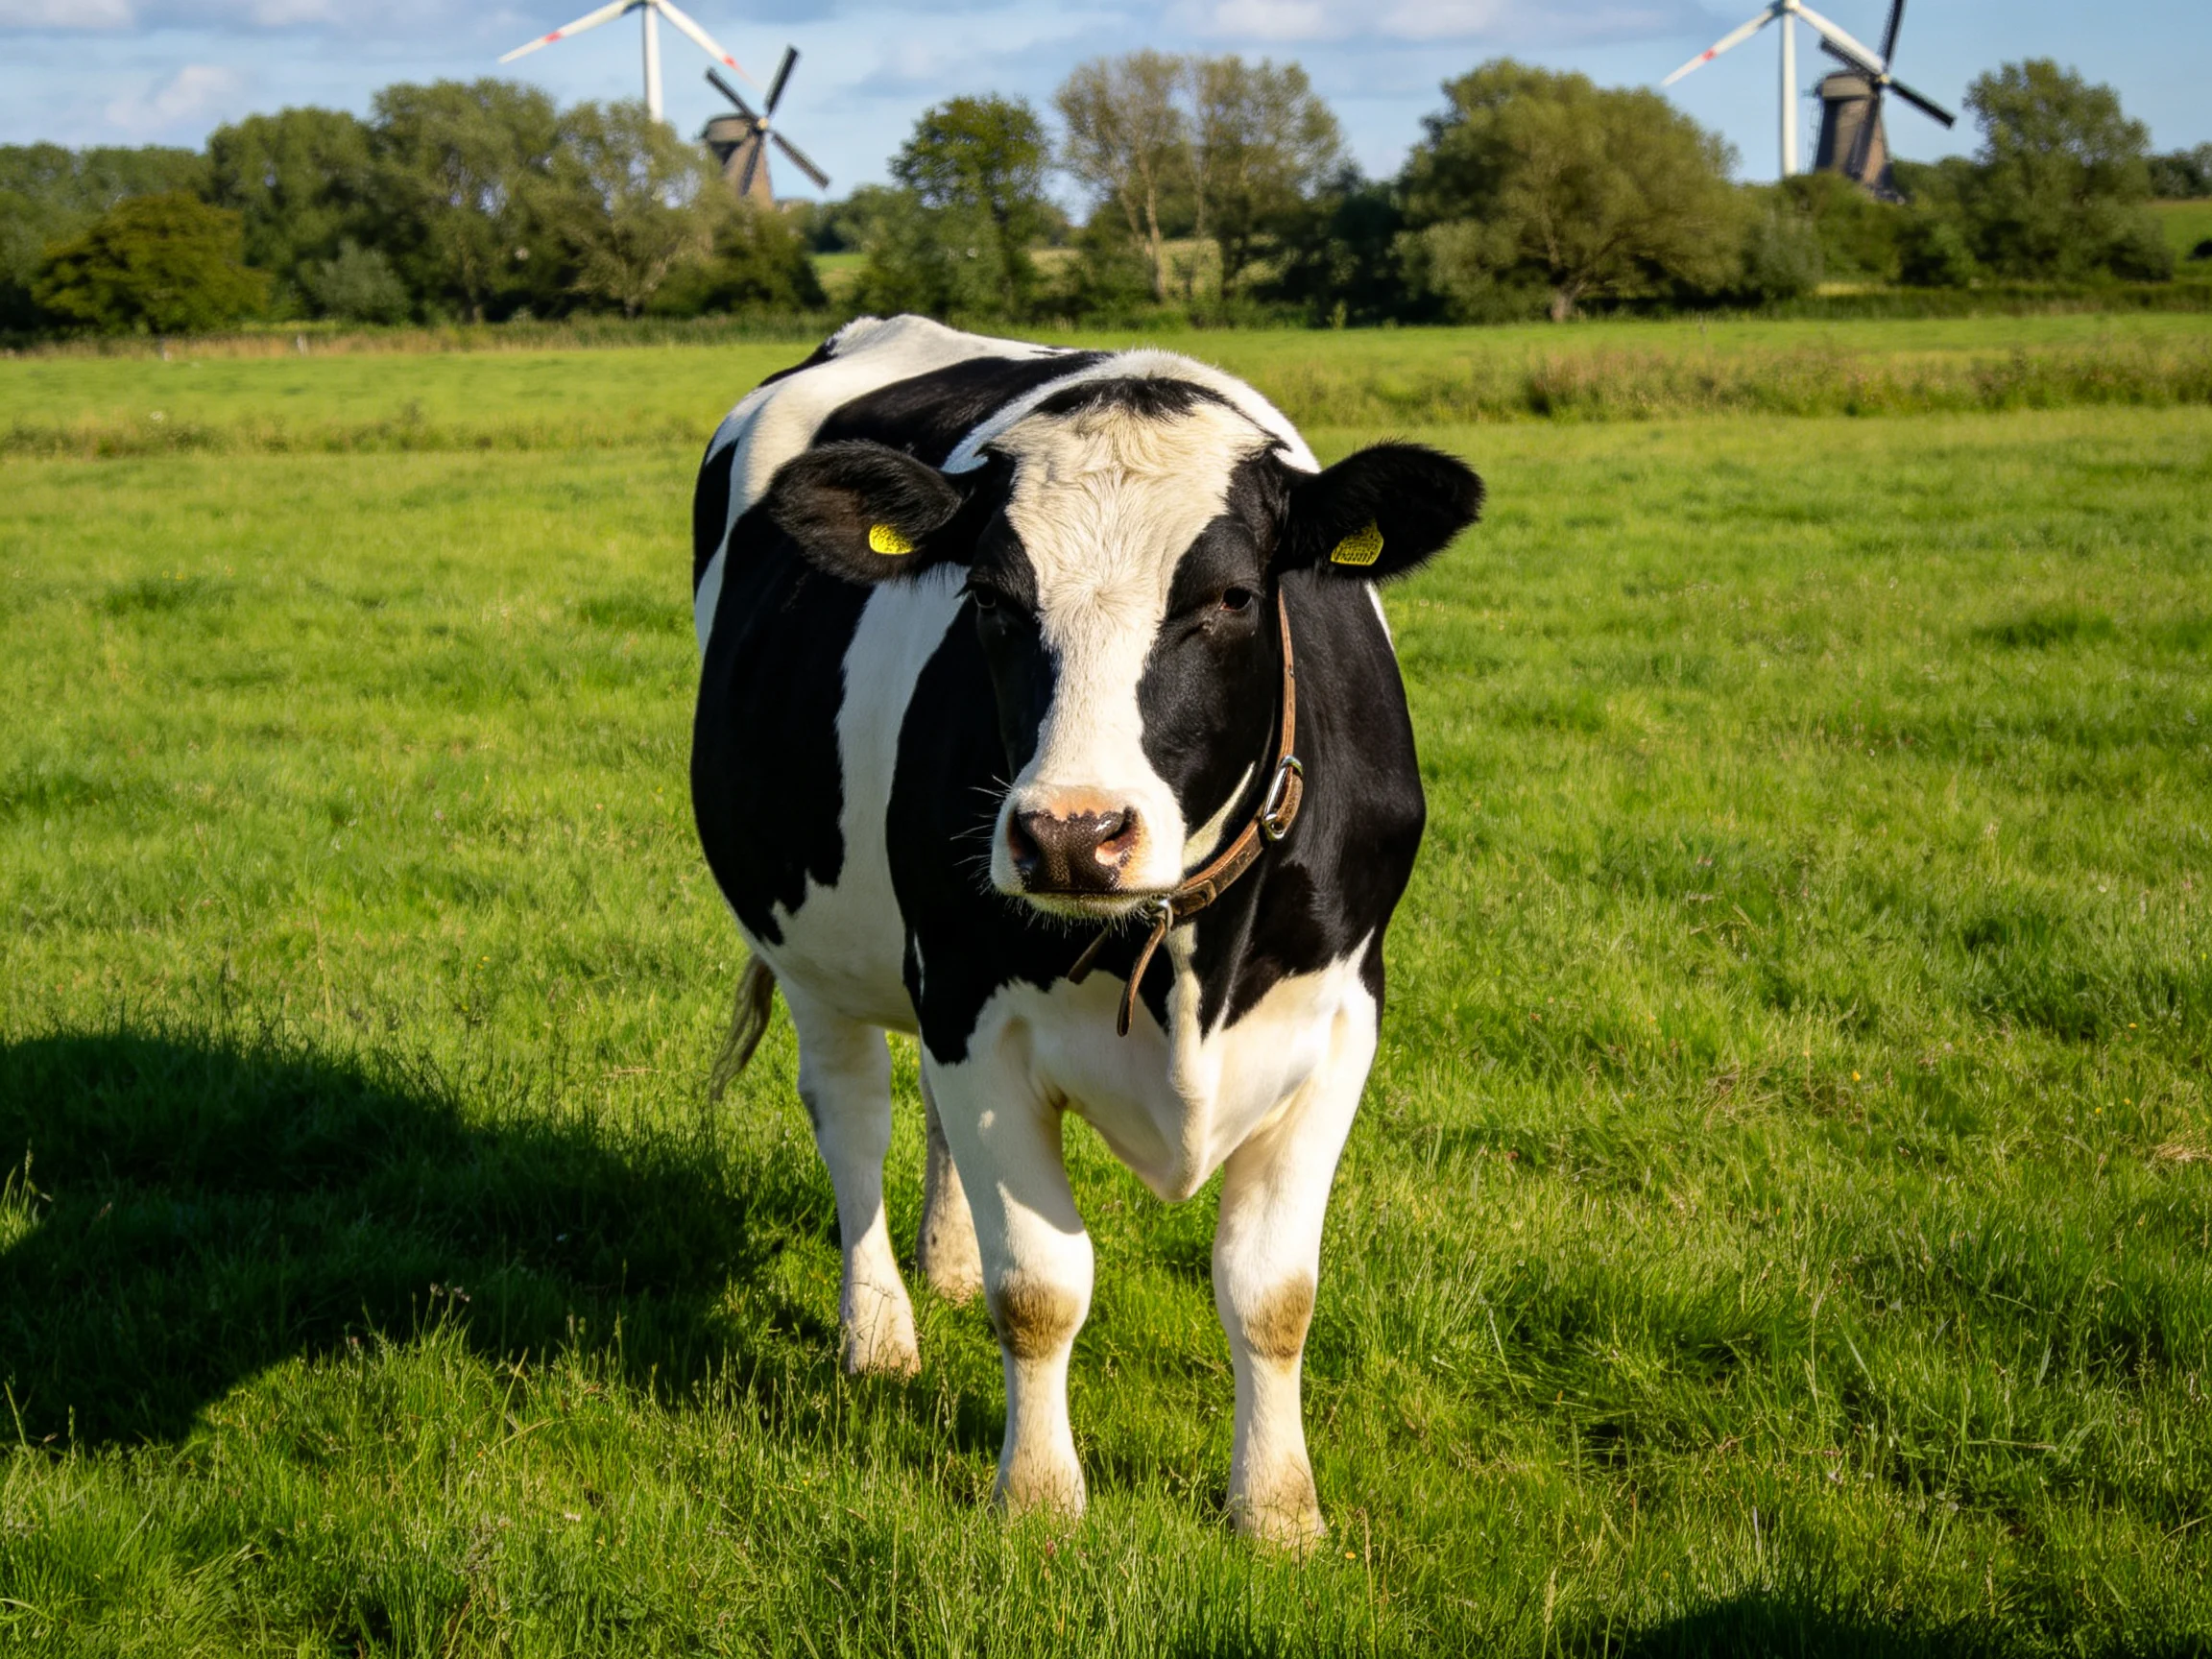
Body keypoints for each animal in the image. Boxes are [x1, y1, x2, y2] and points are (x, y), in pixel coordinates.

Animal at [690, 314, 1483, 1546]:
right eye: (989, 600)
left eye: (1234, 598)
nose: (1072, 834)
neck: (1182, 959)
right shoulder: (971, 1001)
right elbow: (1041, 1287)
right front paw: (1038, 1498)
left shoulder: (1342, 1017)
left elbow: (1273, 1293)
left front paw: (1278, 1511)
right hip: (814, 942)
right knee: (854, 1118)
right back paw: (879, 1330)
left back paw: (943, 1265)